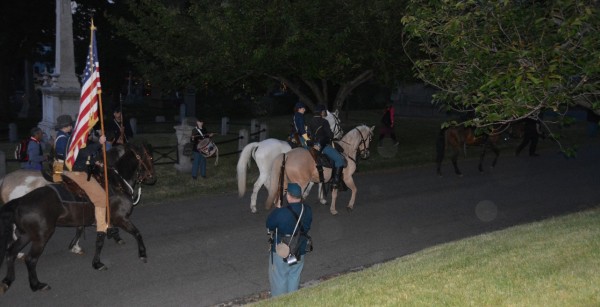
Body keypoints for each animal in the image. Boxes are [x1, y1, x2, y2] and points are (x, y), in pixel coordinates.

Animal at [0, 142, 157, 294]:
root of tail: (20, 201)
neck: (114, 183)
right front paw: (142, 253)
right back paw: (37, 285)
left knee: (11, 252)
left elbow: (95, 238)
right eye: (150, 157)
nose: (152, 178)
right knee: (30, 259)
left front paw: (92, 258)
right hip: (41, 236)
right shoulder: (120, 218)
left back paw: (8, 280)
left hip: (27, 234)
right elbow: (136, 233)